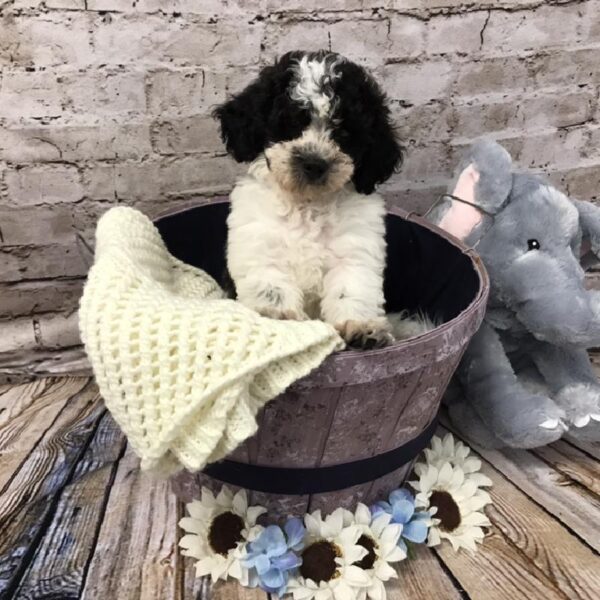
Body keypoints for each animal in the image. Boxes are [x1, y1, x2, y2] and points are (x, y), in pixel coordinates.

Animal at [212, 52, 404, 352]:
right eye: (291, 124)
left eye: (344, 134)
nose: (315, 163)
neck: (307, 206)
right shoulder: (259, 246)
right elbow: (272, 288)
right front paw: (277, 318)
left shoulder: (355, 251)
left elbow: (351, 290)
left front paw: (361, 327)